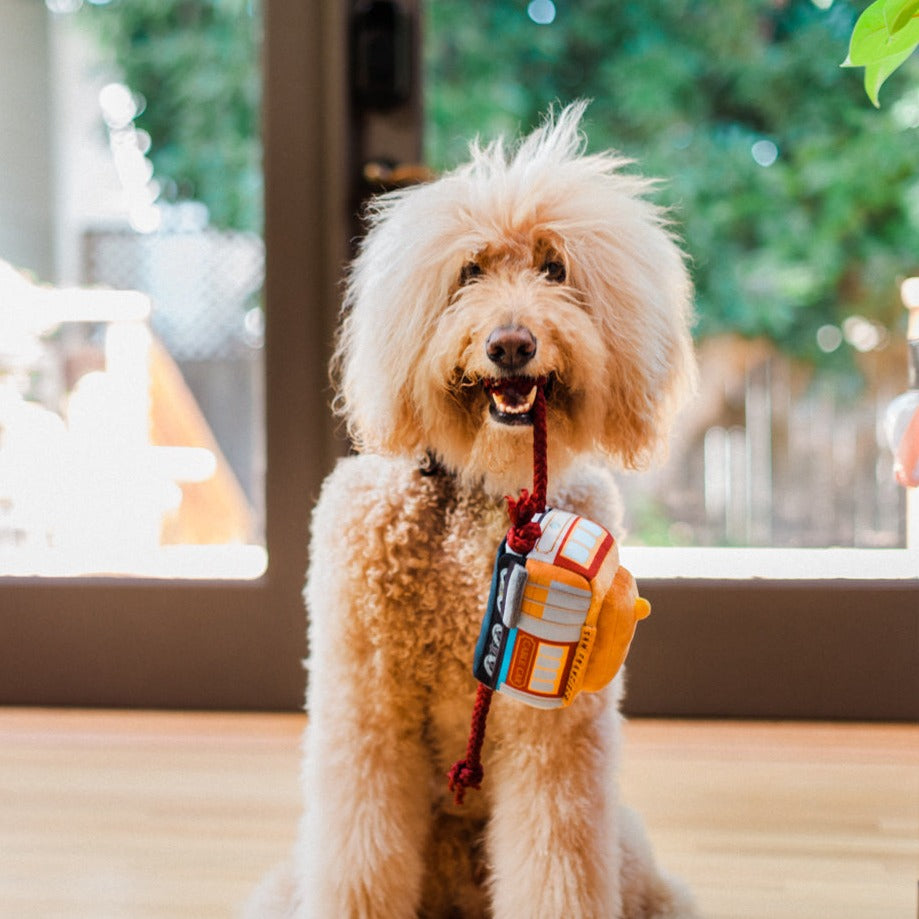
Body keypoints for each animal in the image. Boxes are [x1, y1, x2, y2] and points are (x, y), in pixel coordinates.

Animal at [244, 102, 696, 919]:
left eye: (554, 269)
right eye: (470, 273)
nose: (510, 343)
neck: (486, 492)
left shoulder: (554, 732)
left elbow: (555, 864)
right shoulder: (366, 704)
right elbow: (360, 854)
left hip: (634, 863)